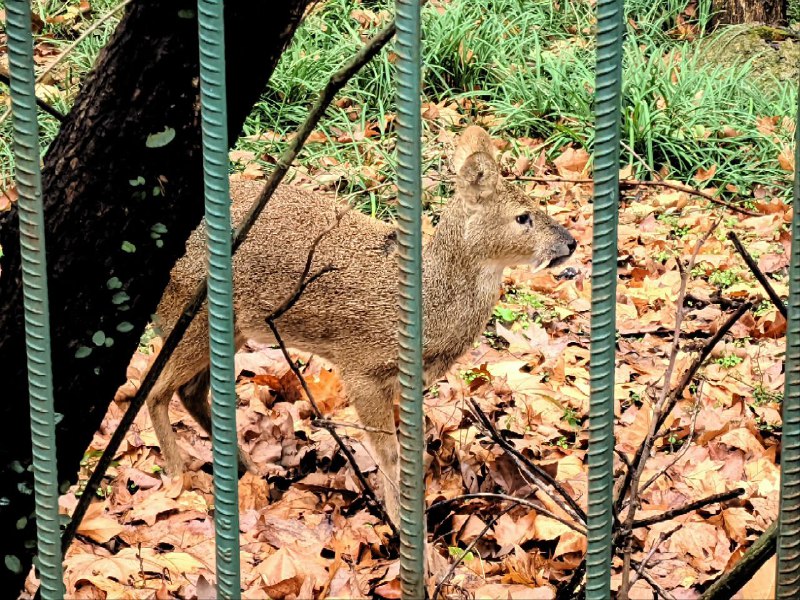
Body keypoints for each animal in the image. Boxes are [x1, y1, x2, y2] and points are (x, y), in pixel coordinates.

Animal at [145, 125, 576, 526]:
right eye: (523, 218)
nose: (570, 243)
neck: (428, 304)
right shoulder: (360, 368)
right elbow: (389, 453)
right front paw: (402, 526)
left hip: (228, 328)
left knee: (188, 391)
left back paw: (249, 472)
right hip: (191, 315)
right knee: (154, 390)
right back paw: (180, 482)